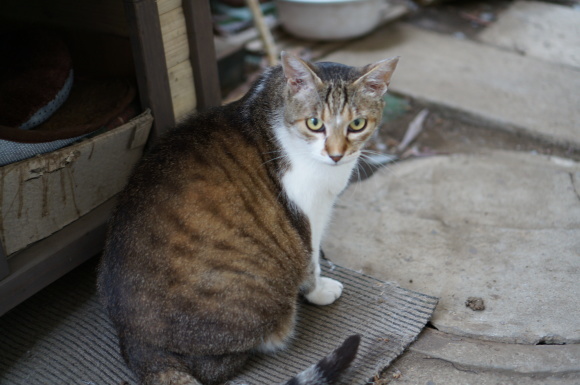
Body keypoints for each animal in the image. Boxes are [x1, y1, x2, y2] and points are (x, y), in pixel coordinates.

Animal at [98, 51, 398, 384]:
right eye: (315, 123)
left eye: (357, 124)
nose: (336, 155)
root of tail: (135, 342)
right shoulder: (309, 214)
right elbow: (311, 262)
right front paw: (319, 291)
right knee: (216, 364)